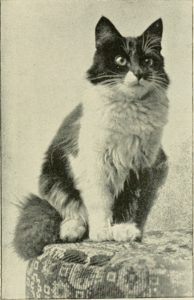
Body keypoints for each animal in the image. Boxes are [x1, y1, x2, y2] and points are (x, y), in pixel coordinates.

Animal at [14, 17, 168, 260]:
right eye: (121, 60)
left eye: (147, 60)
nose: (139, 73)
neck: (129, 109)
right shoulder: (91, 165)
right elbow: (99, 202)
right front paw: (102, 232)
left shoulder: (140, 167)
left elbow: (129, 202)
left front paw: (124, 230)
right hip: (52, 177)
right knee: (71, 209)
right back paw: (72, 230)